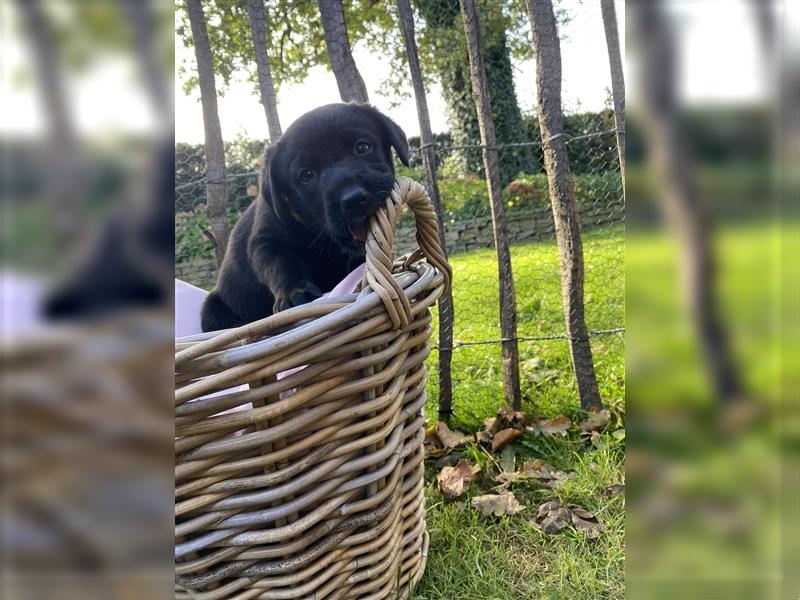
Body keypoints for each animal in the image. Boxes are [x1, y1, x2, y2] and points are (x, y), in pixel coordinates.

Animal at [200, 101, 412, 330]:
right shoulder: (265, 242)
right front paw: (296, 293)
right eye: (306, 175)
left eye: (363, 147)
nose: (353, 199)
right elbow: (281, 262)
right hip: (212, 308)